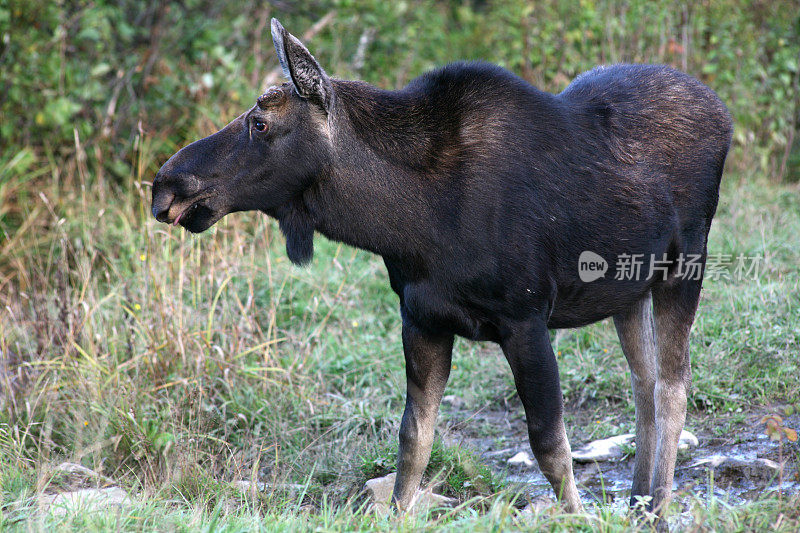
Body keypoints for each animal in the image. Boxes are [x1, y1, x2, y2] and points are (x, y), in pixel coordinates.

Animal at [150, 19, 732, 524]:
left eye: (260, 123)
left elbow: (549, 445)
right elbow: (414, 441)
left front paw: (577, 516)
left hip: (686, 263)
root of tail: (722, 111)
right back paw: (638, 502)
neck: (408, 223)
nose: (166, 184)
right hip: (628, 289)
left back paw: (660, 505)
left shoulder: (525, 318)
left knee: (673, 386)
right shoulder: (422, 318)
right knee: (644, 383)